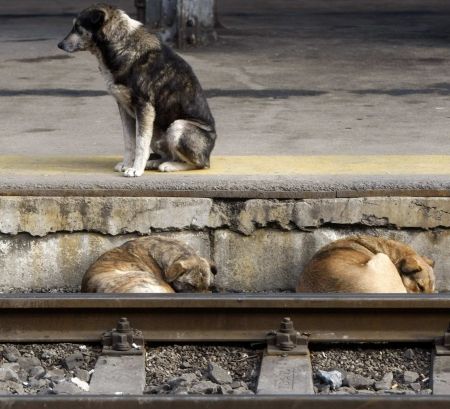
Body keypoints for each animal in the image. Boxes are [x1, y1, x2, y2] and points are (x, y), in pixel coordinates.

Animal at [58, 3, 216, 176]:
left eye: (78, 27)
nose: (59, 45)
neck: (120, 43)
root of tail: (209, 152)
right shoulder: (124, 108)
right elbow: (129, 142)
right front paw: (127, 164)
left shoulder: (144, 106)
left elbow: (140, 143)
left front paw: (136, 169)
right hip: (157, 130)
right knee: (169, 154)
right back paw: (154, 162)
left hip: (178, 127)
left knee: (199, 164)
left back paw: (169, 166)